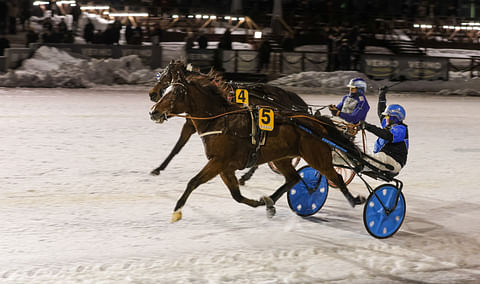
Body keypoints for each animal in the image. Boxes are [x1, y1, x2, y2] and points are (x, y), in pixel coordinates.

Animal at [148, 61, 310, 184]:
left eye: (165, 77)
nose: (152, 94)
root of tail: (288, 96)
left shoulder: (191, 124)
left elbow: (177, 147)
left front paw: (158, 168)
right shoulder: (191, 124)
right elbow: (177, 147)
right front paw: (159, 168)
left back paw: (247, 175)